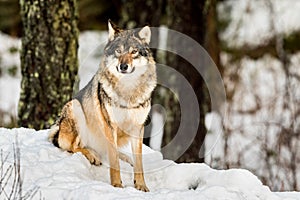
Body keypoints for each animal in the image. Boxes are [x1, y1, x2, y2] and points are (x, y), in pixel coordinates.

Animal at [48, 20, 156, 192]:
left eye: (133, 52)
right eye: (118, 51)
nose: (123, 66)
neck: (128, 91)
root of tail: (58, 130)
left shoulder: (137, 127)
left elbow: (139, 162)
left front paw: (141, 186)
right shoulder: (110, 125)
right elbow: (114, 162)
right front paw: (117, 185)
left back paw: (124, 157)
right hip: (75, 107)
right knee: (74, 147)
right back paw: (93, 156)